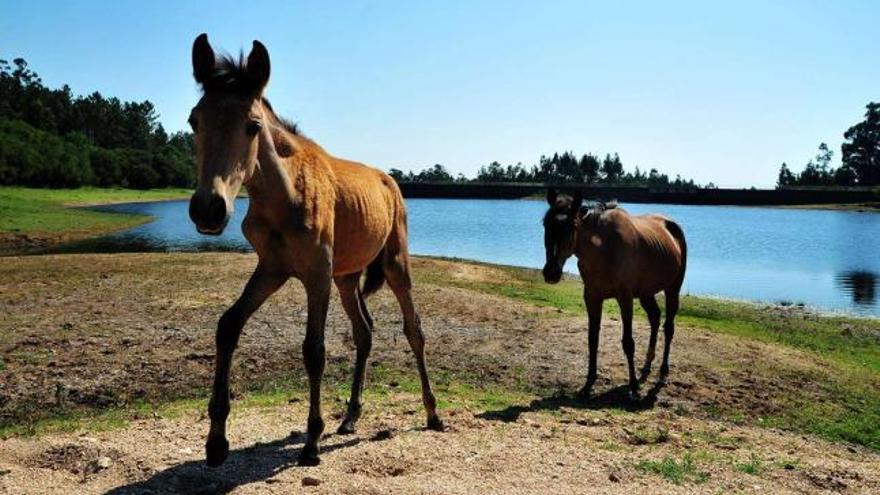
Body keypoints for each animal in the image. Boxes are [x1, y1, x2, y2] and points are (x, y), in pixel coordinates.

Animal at [188, 35, 444, 468]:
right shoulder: (273, 269)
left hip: (395, 265)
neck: (284, 195)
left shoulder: (316, 274)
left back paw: (432, 412)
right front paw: (216, 441)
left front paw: (311, 442)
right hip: (347, 278)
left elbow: (314, 349)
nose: (209, 209)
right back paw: (351, 417)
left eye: (253, 125)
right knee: (365, 331)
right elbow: (228, 325)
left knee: (414, 330)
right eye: (194, 120)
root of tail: (389, 179)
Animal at [544, 190, 688, 404]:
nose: (551, 272)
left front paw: (634, 388)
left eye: (572, 226)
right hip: (646, 293)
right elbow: (592, 339)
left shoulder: (624, 297)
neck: (603, 248)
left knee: (668, 327)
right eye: (545, 223)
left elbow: (628, 343)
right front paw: (588, 385)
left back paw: (662, 372)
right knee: (655, 318)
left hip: (673, 289)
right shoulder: (592, 297)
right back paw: (646, 365)